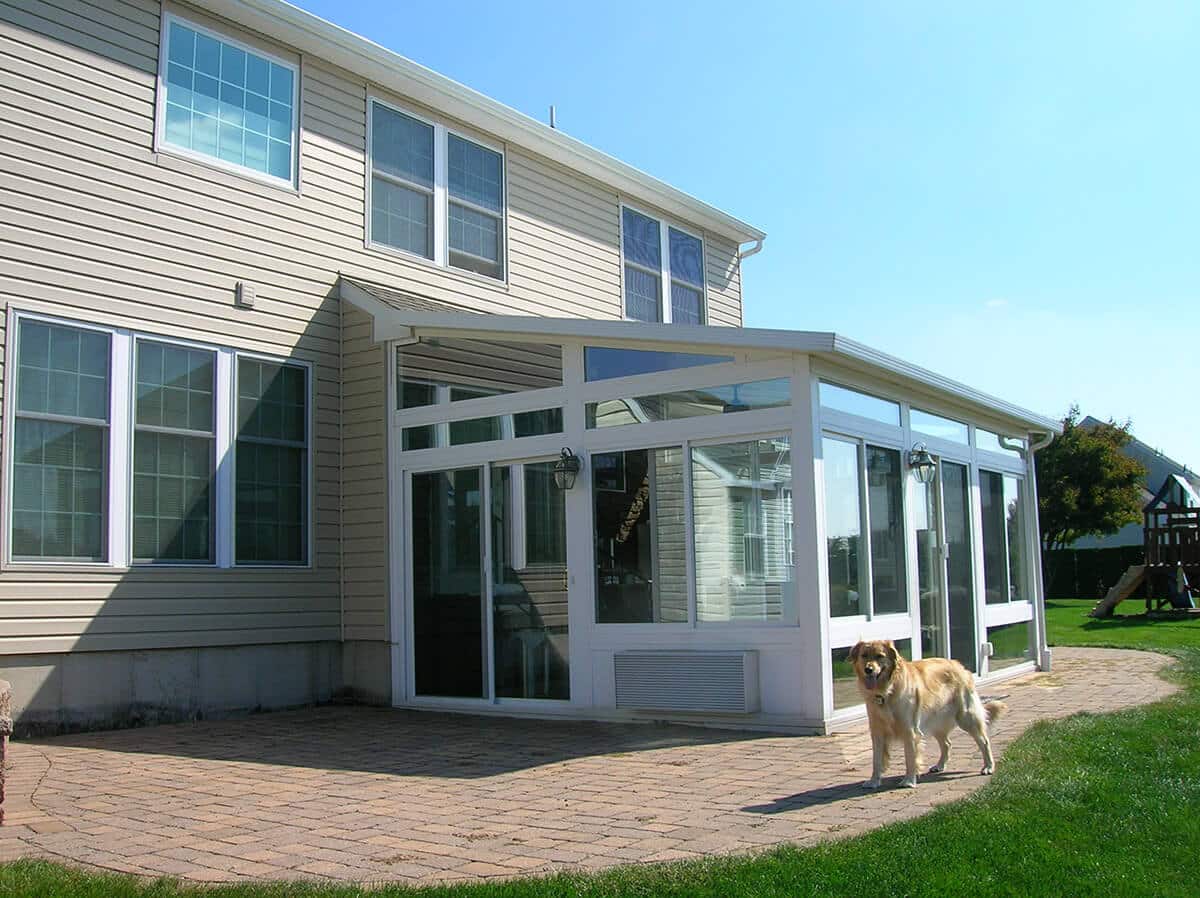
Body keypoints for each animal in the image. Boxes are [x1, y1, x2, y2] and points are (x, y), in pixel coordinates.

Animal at [849, 638, 1008, 787]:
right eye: (864, 655)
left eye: (880, 656)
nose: (868, 670)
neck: (887, 690)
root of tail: (960, 665)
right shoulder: (877, 731)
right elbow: (876, 761)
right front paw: (874, 781)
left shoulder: (910, 730)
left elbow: (910, 758)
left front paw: (909, 780)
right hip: (936, 721)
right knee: (947, 743)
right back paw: (940, 765)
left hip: (966, 717)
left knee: (984, 741)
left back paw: (988, 766)